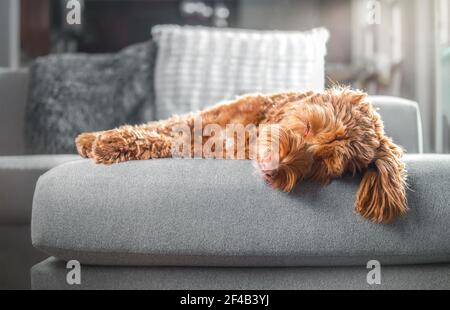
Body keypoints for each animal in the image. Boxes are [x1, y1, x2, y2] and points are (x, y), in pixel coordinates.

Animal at [76, 88, 408, 224]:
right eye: (308, 125)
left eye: (324, 164)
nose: (272, 167)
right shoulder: (205, 119)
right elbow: (164, 124)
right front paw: (94, 137)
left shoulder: (209, 147)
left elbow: (166, 140)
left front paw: (109, 142)